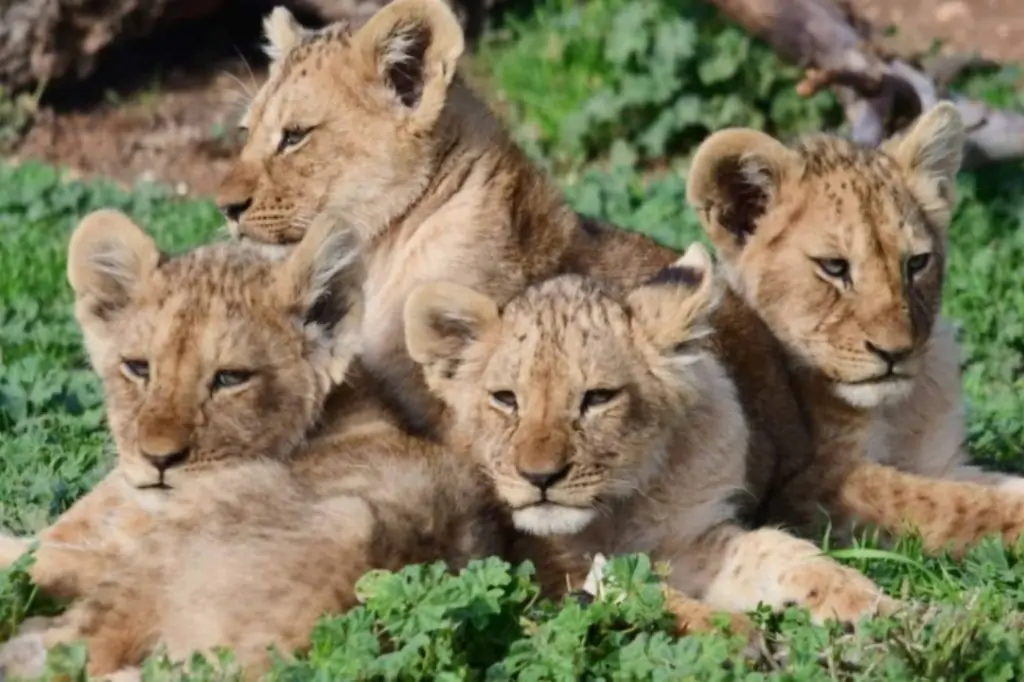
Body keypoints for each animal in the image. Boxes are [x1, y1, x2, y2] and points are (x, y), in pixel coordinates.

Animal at [403, 243, 896, 626]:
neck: (618, 510)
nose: (539, 478)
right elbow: (635, 592)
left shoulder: (688, 539)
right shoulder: (547, 570)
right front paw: (731, 635)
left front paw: (871, 604)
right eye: (506, 399)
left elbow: (776, 553)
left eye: (598, 397)